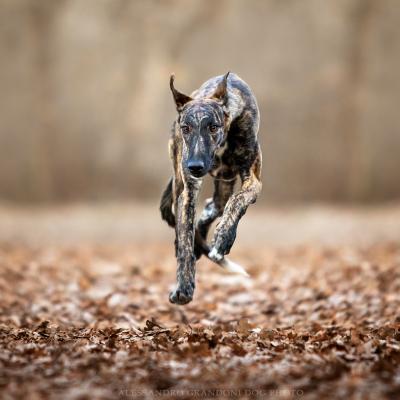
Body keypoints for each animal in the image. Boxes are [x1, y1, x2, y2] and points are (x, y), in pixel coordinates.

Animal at [159, 72, 262, 304]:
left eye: (213, 127)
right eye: (186, 128)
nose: (195, 166)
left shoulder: (253, 180)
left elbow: (237, 202)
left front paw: (223, 238)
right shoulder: (187, 193)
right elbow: (185, 241)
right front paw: (184, 288)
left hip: (223, 187)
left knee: (214, 206)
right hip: (181, 182)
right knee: (198, 215)